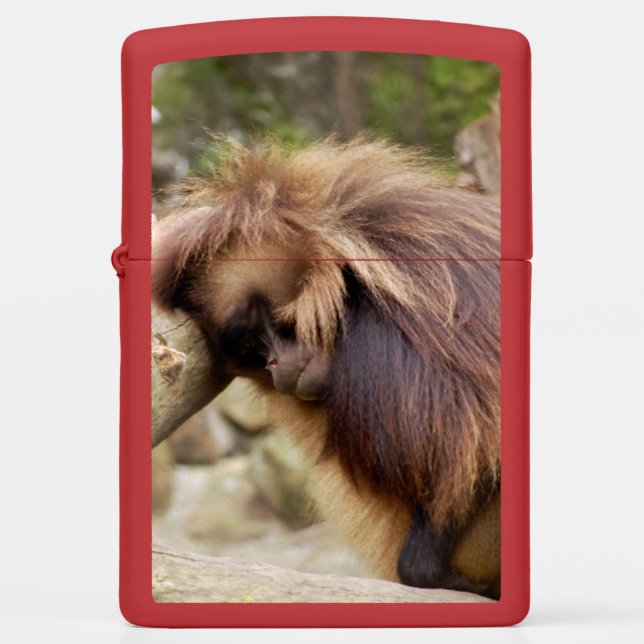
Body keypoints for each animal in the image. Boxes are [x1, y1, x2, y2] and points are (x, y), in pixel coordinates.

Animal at [152, 137, 501, 598]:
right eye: (253, 344)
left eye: (276, 326)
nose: (275, 363)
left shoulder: (379, 348)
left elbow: (478, 455)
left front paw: (431, 574)